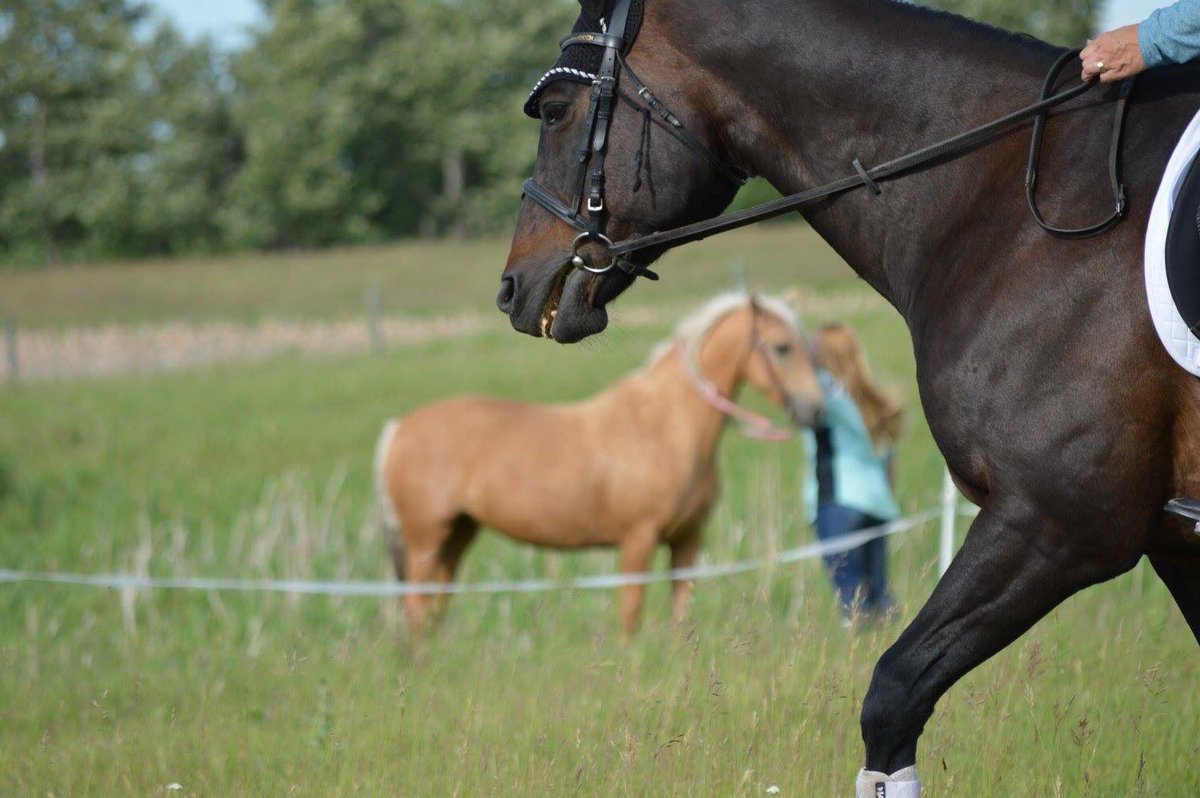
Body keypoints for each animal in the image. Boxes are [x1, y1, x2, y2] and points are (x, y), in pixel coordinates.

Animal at [374, 293, 824, 637]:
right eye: (782, 347)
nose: (815, 410)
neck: (665, 427)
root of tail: (399, 428)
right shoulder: (638, 540)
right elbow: (631, 611)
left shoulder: (687, 540)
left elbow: (682, 610)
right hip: (426, 539)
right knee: (417, 604)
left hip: (457, 534)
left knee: (436, 601)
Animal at [496, 0, 1200, 790]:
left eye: (556, 109)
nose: (513, 287)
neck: (1016, 205)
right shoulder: (1172, 538)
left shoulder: (1057, 522)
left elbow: (892, 695)